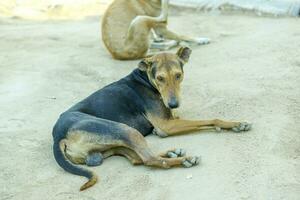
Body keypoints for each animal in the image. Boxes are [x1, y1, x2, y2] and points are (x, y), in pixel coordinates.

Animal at [52, 46, 251, 191]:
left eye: (178, 75)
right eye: (160, 78)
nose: (173, 104)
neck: (146, 79)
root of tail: (57, 136)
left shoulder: (170, 120)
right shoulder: (166, 126)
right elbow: (211, 119)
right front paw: (236, 123)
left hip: (115, 143)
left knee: (137, 158)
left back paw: (172, 153)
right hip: (124, 129)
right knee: (149, 159)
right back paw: (183, 160)